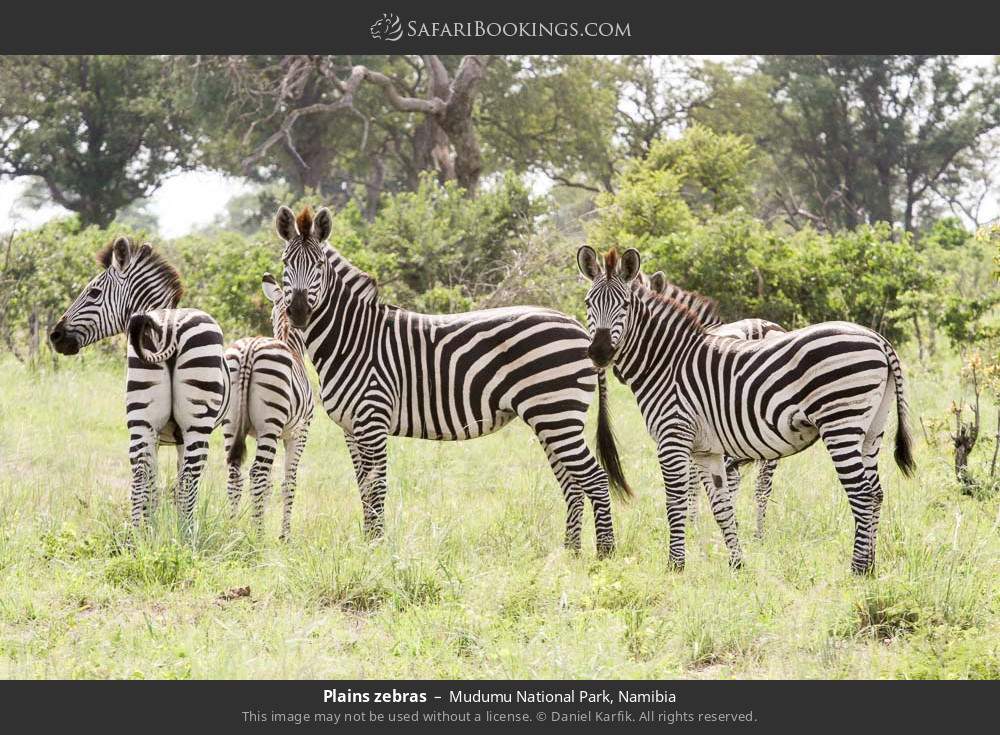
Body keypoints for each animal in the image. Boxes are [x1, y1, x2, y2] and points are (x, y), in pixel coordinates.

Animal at [50, 239, 229, 532]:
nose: (55, 336)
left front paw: (152, 527)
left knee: (143, 472)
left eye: (94, 292)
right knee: (185, 478)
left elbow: (156, 483)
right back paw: (183, 534)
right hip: (192, 423)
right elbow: (171, 483)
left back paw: (141, 534)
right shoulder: (174, 434)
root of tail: (169, 325)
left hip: (143, 419)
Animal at [223, 274, 312, 536]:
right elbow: (289, 482)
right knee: (257, 474)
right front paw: (285, 535)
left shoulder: (254, 433)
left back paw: (233, 529)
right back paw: (259, 535)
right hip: (270, 427)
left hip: (232, 424)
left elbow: (272, 484)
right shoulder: (299, 433)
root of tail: (249, 348)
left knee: (235, 474)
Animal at [274, 204, 632, 556]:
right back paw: (569, 553)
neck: (351, 337)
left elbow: (377, 488)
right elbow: (363, 487)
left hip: (558, 414)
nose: (299, 312)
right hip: (552, 419)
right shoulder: (351, 428)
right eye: (285, 262)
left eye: (319, 265)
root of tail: (580, 327)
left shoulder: (372, 420)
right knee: (573, 483)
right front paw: (368, 543)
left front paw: (375, 548)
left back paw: (605, 553)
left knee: (595, 479)